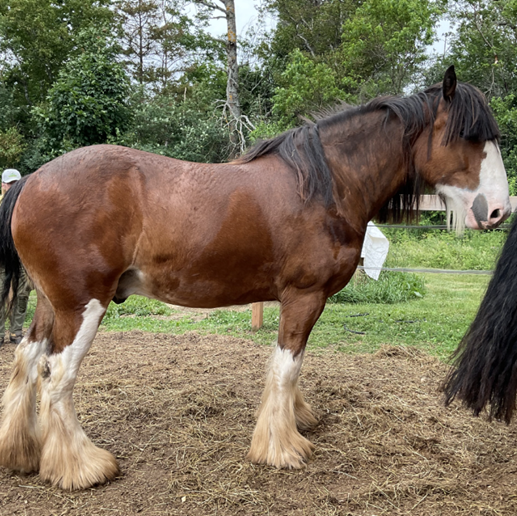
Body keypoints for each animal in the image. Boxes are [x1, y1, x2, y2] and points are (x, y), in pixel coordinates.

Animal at [0, 66, 510, 490]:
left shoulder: (302, 301)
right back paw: (82, 467)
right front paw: (282, 448)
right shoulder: (304, 296)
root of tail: (31, 180)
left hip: (50, 302)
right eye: (467, 136)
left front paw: (297, 419)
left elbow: (293, 365)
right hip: (83, 304)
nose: (499, 211)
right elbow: (286, 366)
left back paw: (23, 452)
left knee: (27, 359)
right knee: (57, 376)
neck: (327, 186)